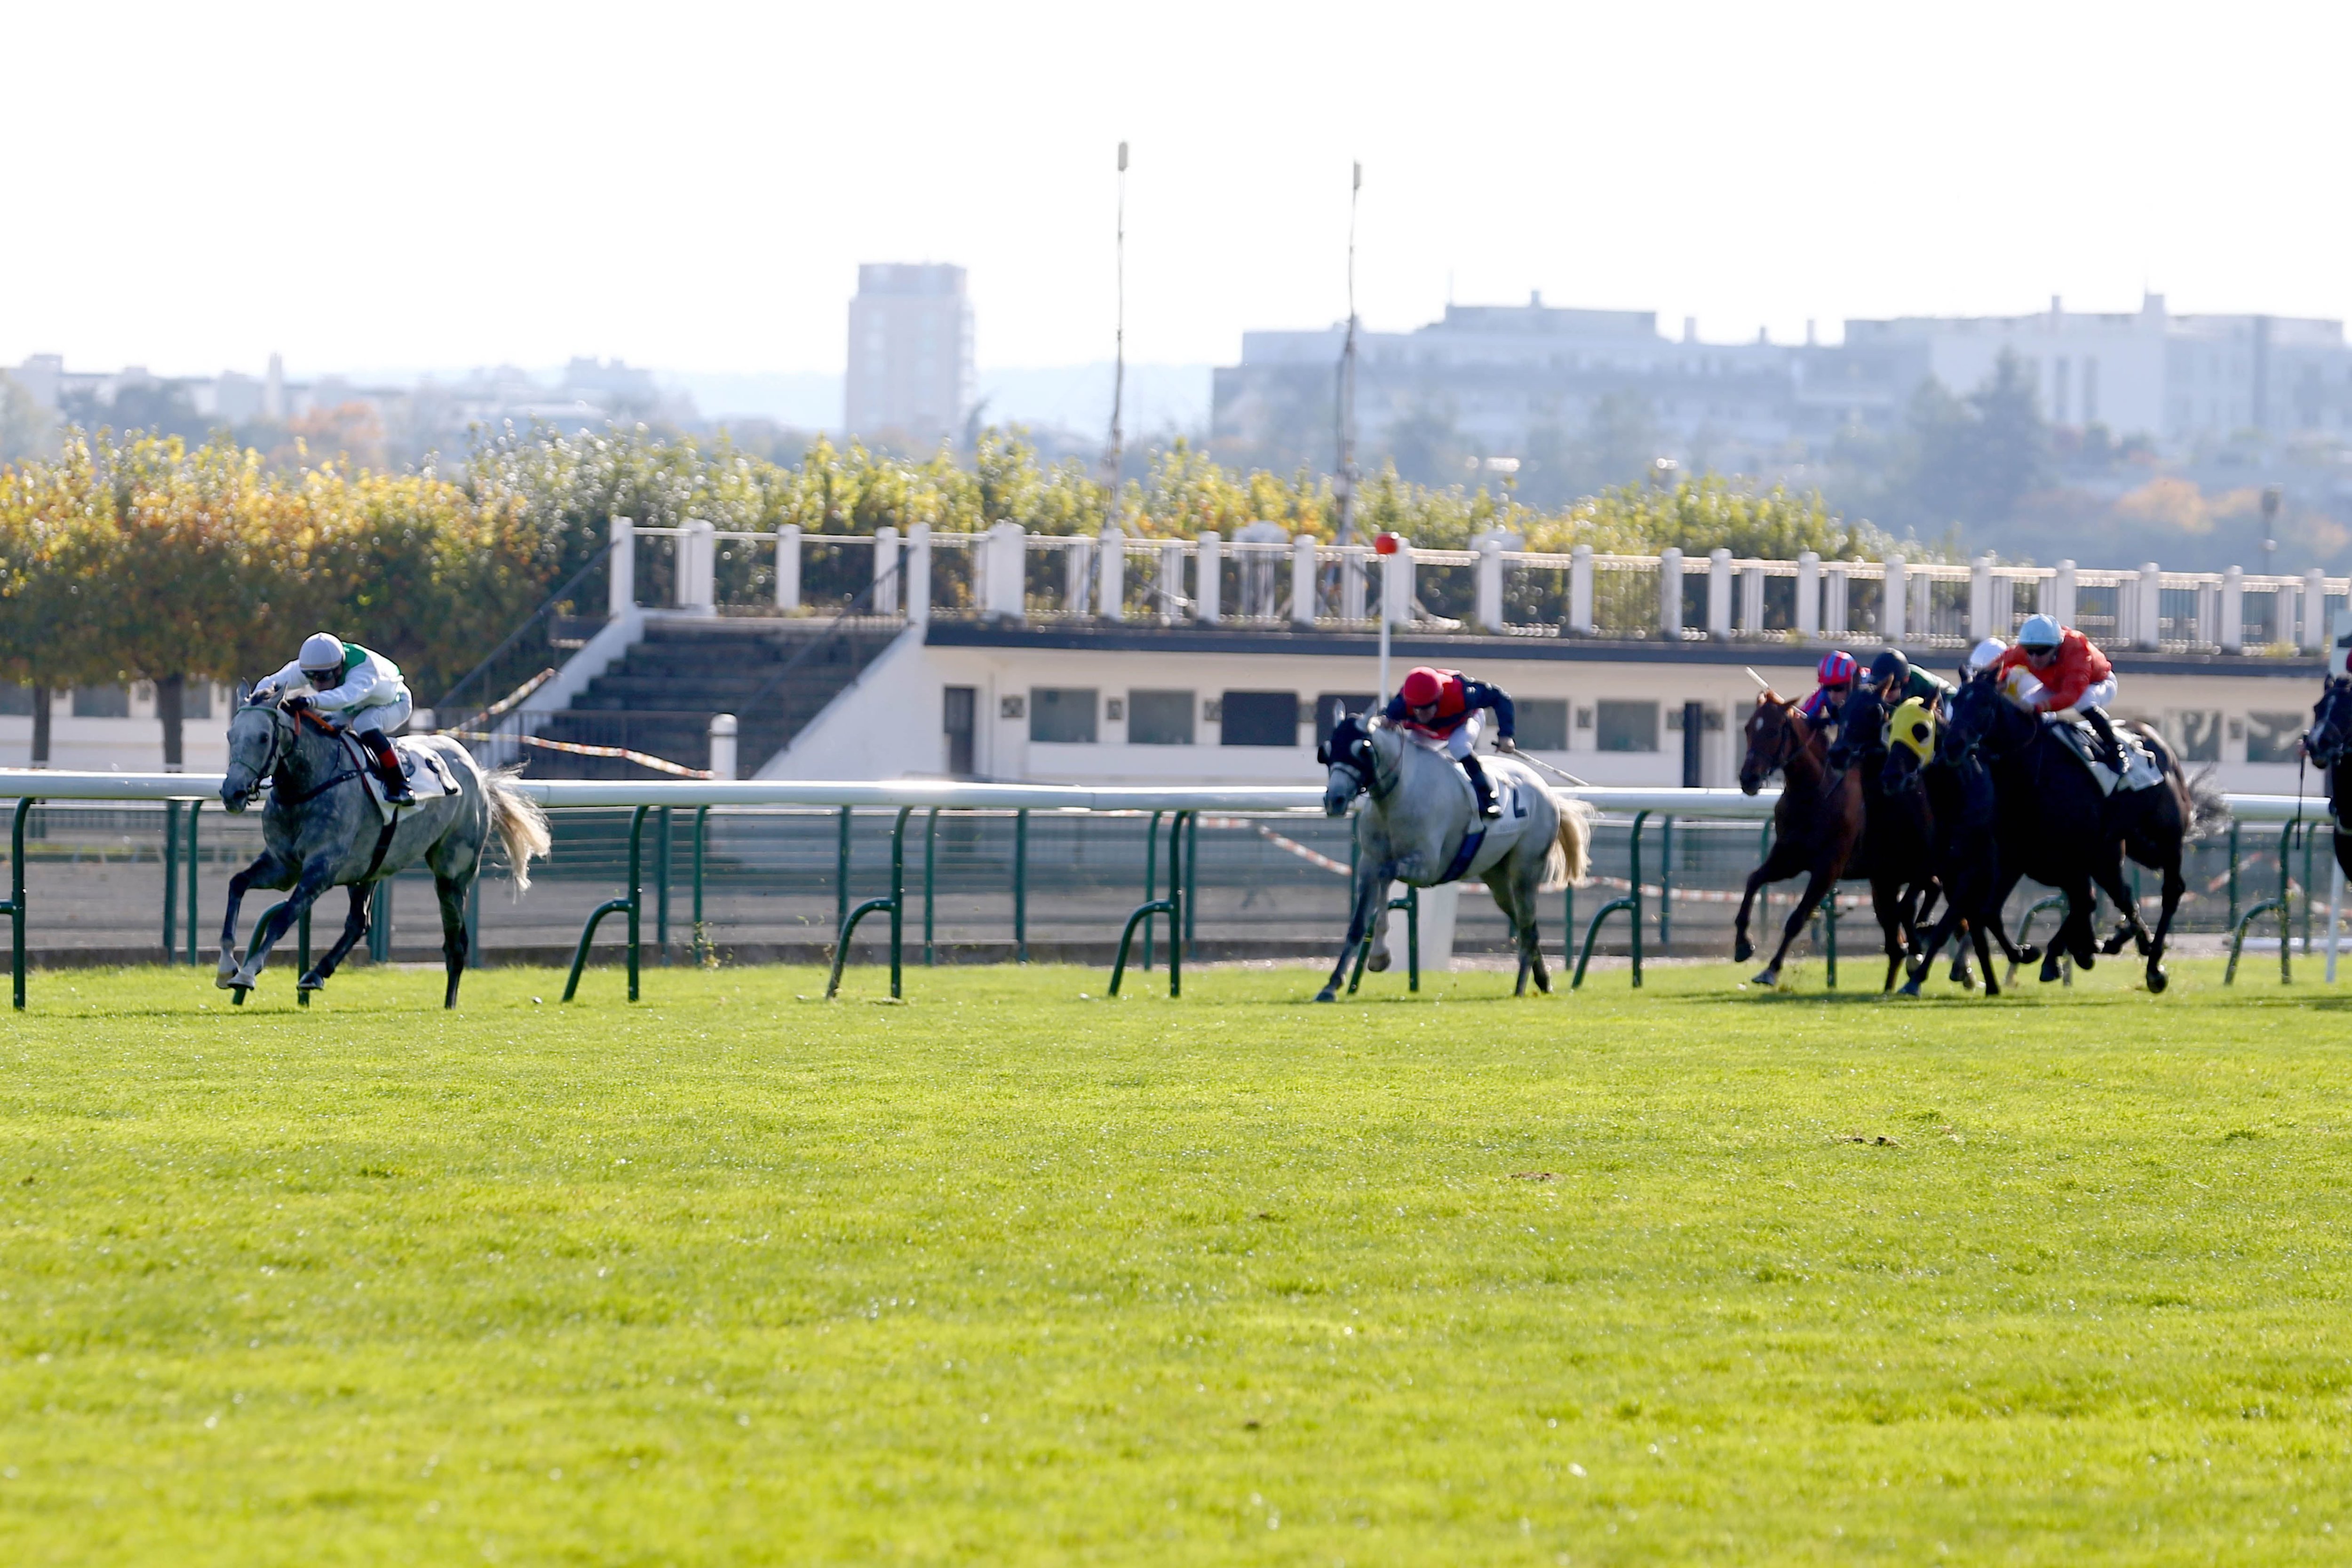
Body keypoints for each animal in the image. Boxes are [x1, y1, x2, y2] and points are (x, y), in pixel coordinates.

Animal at [214, 696, 553, 1006]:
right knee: (359, 922)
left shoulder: (320, 870)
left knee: (456, 941)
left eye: (264, 737)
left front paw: (248, 972)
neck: (308, 786)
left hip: (453, 872)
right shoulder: (283, 866)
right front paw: (226, 966)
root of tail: (477, 771)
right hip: (369, 868)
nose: (233, 793)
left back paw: (450, 1002)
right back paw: (316, 974)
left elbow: (281, 919)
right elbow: (237, 885)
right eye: (230, 735)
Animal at [1317, 705, 1590, 1001]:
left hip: (1525, 869)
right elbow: (1358, 922)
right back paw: (1543, 980)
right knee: (1526, 924)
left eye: (1362, 750)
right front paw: (1331, 985)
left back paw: (1520, 987)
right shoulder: (1369, 862)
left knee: (1528, 925)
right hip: (1497, 878)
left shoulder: (1426, 867)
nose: (1334, 800)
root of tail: (1547, 791)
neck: (1399, 794)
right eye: (1327, 751)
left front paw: (1380, 957)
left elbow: (1386, 875)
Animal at [1938, 677, 2230, 992]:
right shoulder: (2016, 858)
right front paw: (2027, 952)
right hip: (2124, 848)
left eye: (1984, 704)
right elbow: (1990, 911)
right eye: (1956, 702)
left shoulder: (2074, 859)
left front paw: (2062, 954)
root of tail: (2160, 744)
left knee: (2169, 892)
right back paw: (2130, 942)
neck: (2031, 776)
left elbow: (2084, 903)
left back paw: (2153, 968)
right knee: (2123, 895)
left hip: (2165, 841)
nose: (1952, 745)